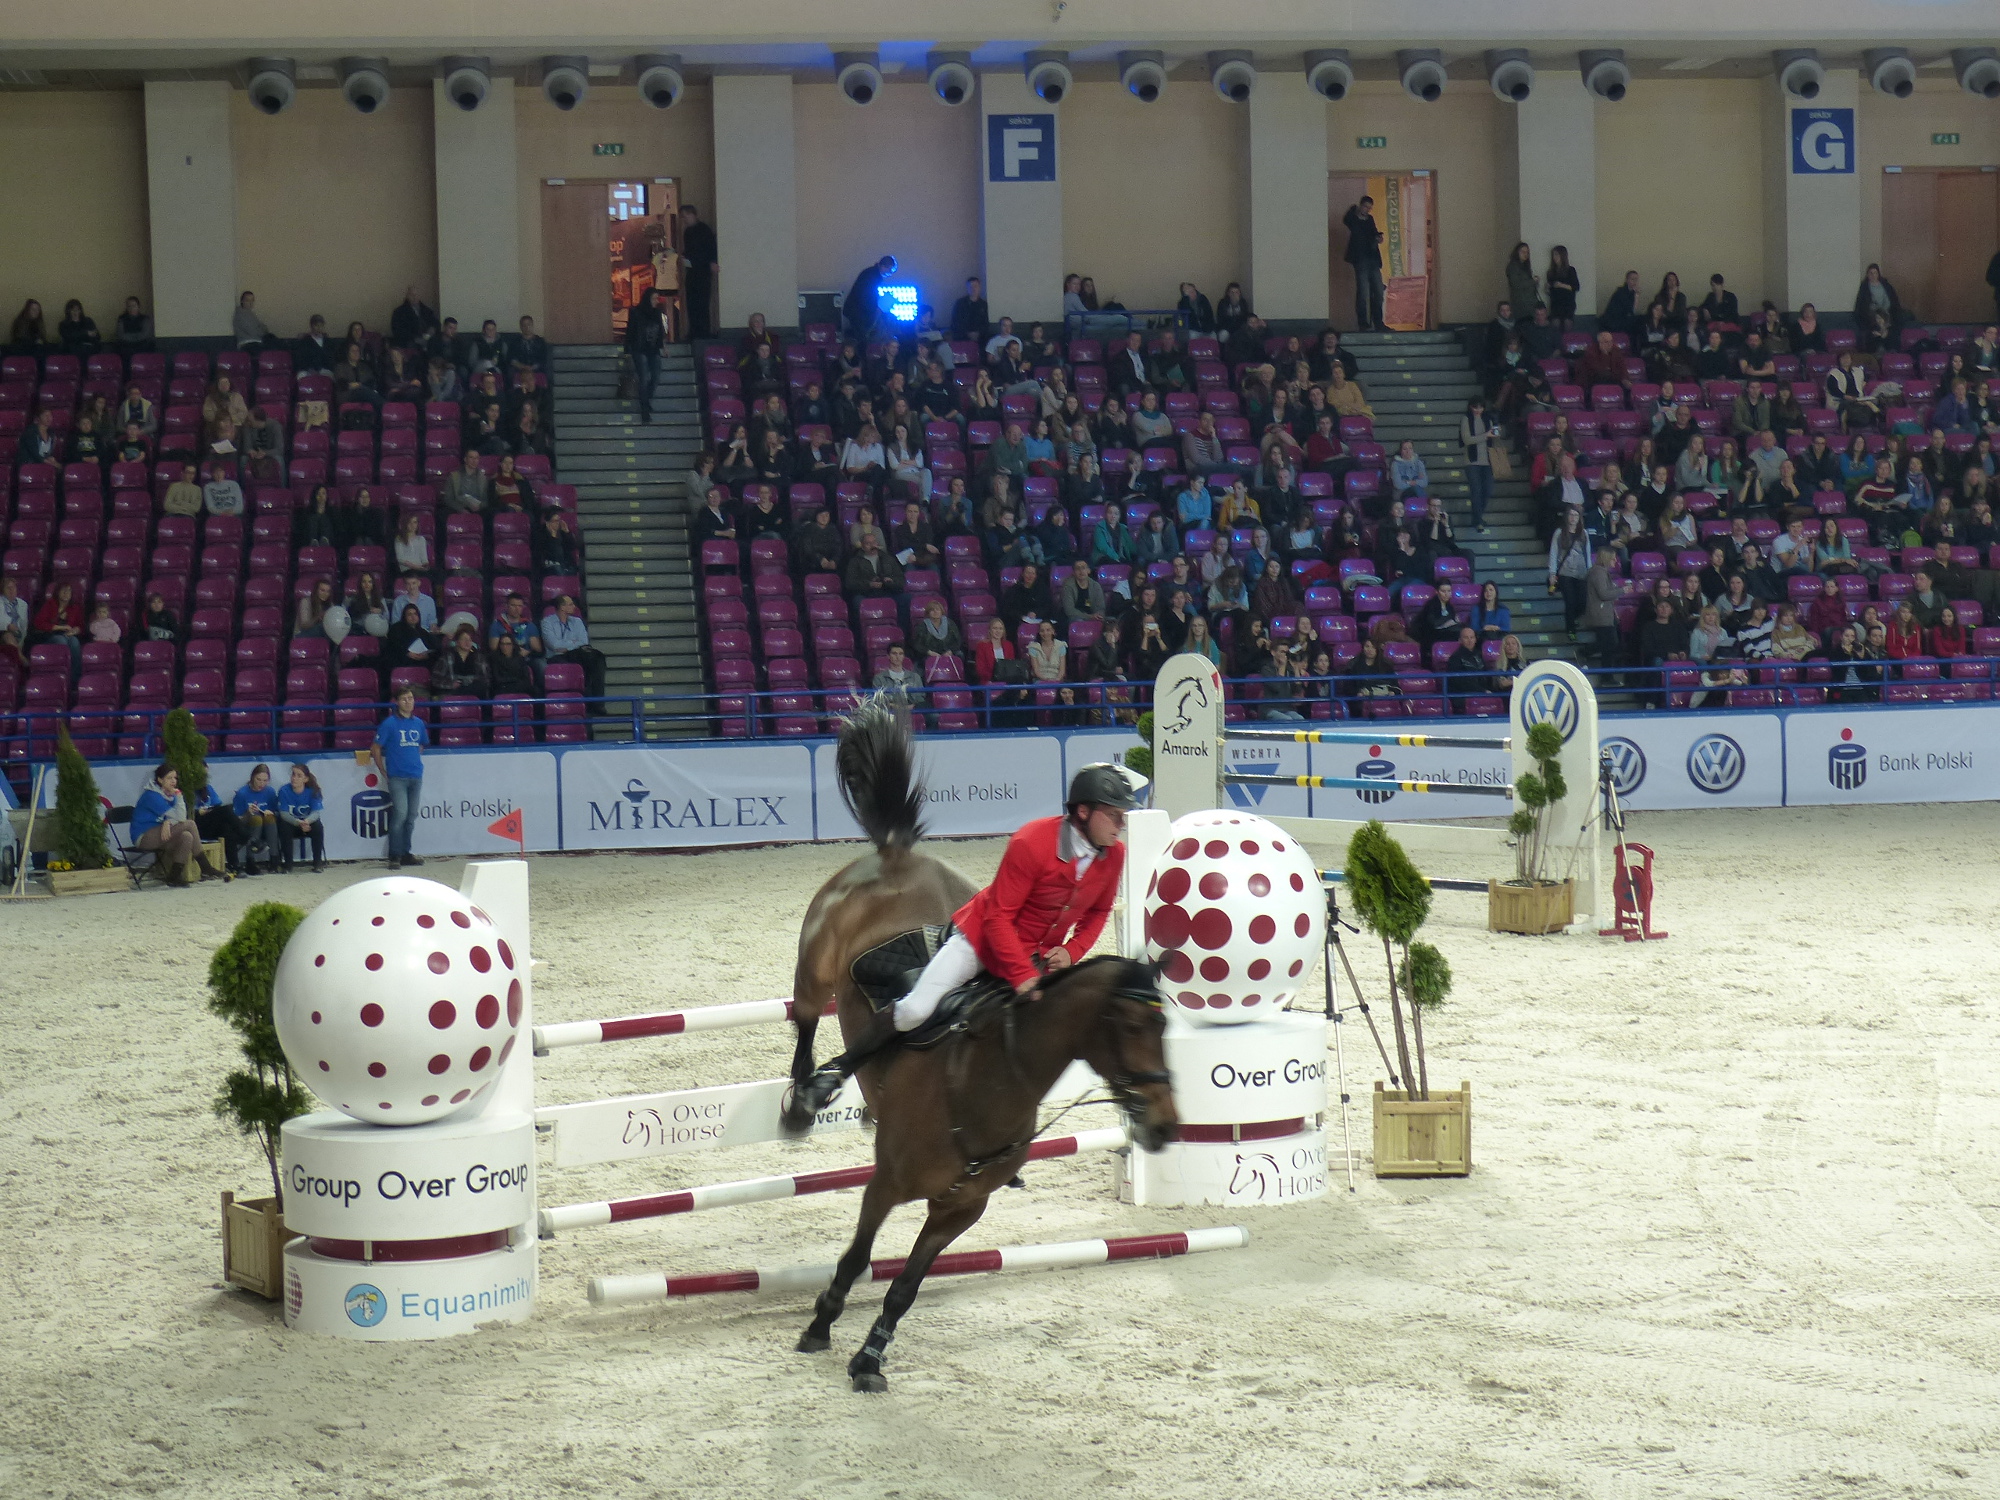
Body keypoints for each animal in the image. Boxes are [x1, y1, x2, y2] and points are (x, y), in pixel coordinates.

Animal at [787, 700, 1180, 1391]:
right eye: (1134, 1028)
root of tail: (897, 856)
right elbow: (859, 1257)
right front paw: (821, 1323)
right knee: (812, 1023)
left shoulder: (961, 1207)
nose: (1163, 1127)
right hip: (816, 969)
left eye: (1164, 1028)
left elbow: (905, 1287)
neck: (987, 1083)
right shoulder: (884, 1185)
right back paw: (806, 1097)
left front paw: (869, 1359)